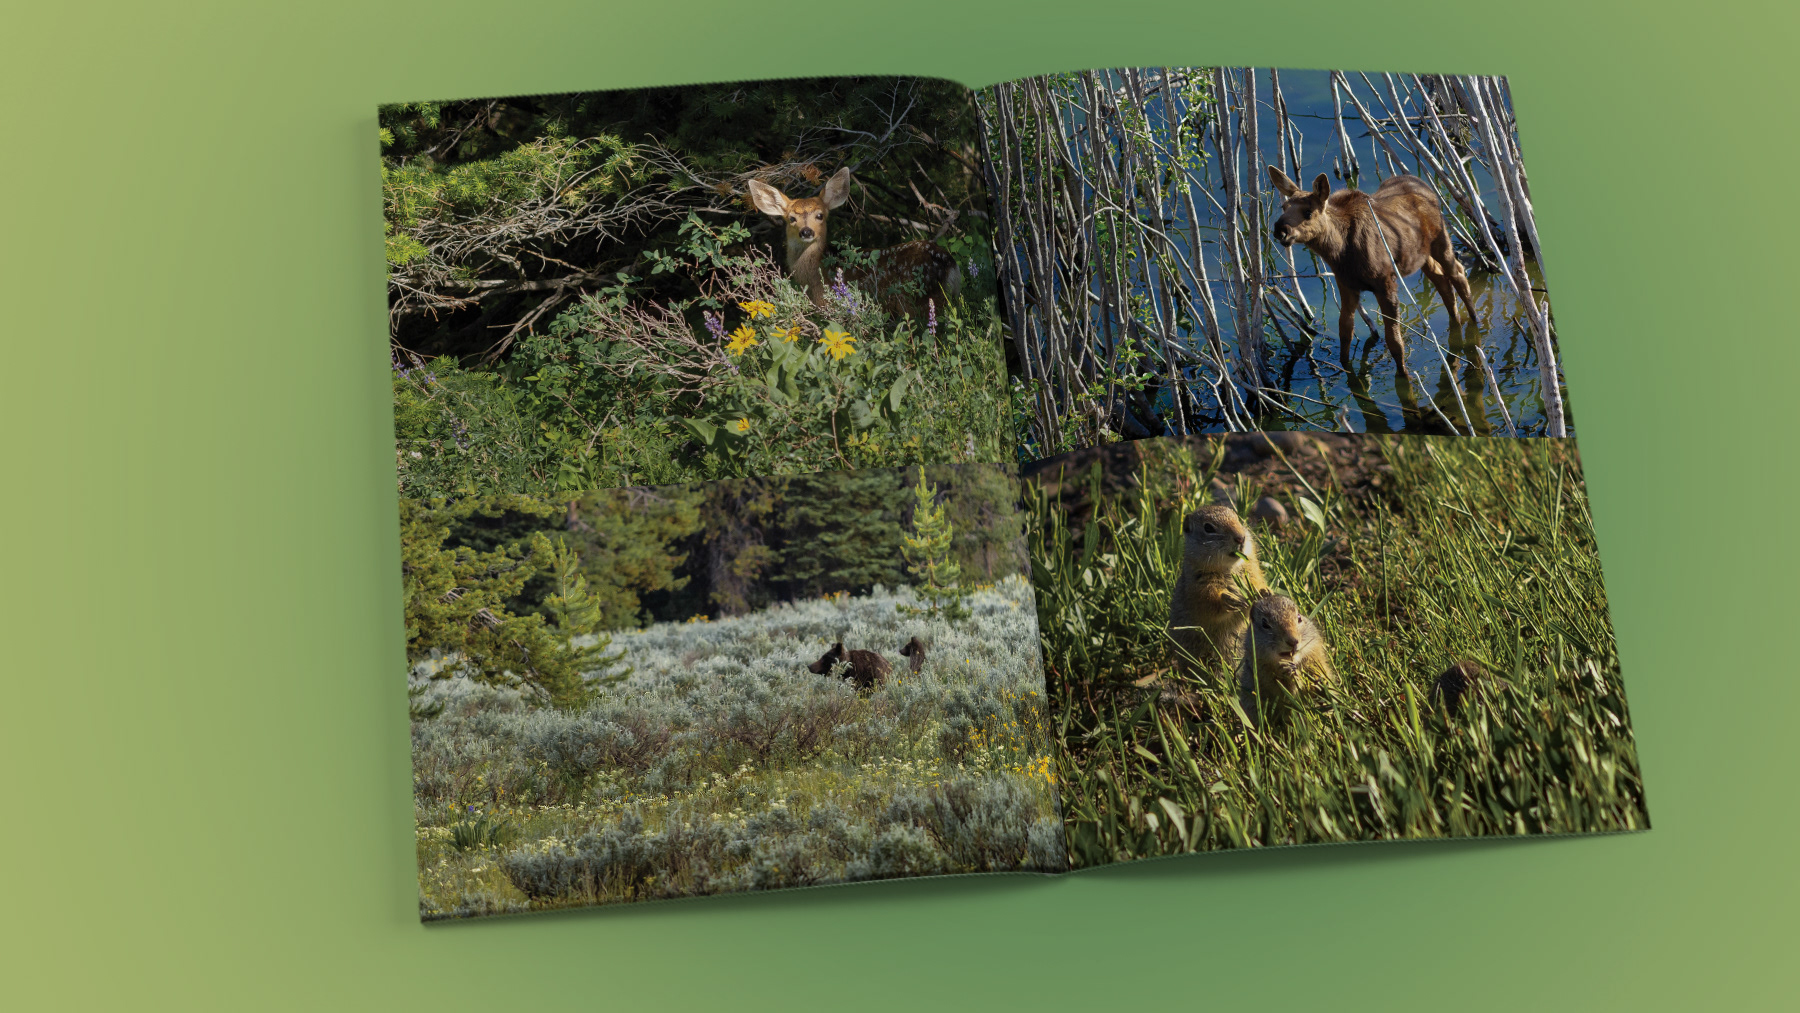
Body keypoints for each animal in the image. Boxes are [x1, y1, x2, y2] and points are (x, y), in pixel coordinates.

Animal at [747, 167, 962, 319]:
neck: (815, 274)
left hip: (915, 300)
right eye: (791, 218)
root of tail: (949, 263)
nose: (806, 231)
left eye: (820, 215)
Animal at [1266, 166, 1479, 366]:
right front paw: (1346, 367)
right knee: (1441, 279)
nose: (1280, 229)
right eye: (1284, 206)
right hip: (1421, 255)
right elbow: (1345, 331)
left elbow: (1395, 342)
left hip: (1441, 240)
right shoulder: (1346, 284)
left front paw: (1404, 375)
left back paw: (1474, 322)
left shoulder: (1386, 283)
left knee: (1458, 274)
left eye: (1308, 213)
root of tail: (1424, 184)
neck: (1339, 252)